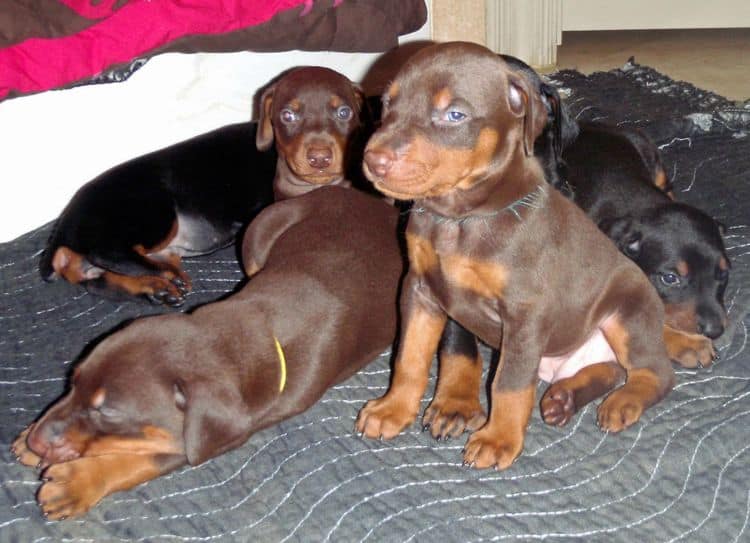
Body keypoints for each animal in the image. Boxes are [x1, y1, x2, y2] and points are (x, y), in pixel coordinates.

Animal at [10, 188, 406, 524]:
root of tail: (377, 205)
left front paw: (75, 482)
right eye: (72, 380)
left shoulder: (221, 432)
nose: (36, 440)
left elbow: (146, 455)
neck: (228, 336)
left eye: (107, 412)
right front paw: (33, 442)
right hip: (260, 232)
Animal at [40, 65, 364, 306]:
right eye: (288, 116)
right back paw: (163, 276)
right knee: (108, 252)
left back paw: (155, 288)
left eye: (344, 113)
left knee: (95, 279)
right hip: (153, 210)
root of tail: (66, 221)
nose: (320, 158)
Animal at [356, 41, 680, 472]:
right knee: (609, 369)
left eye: (454, 114)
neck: (460, 218)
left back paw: (624, 401)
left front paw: (498, 439)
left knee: (655, 372)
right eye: (388, 104)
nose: (373, 160)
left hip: (628, 313)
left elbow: (507, 383)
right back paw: (564, 397)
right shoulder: (420, 289)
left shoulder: (525, 313)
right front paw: (392, 409)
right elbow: (409, 355)